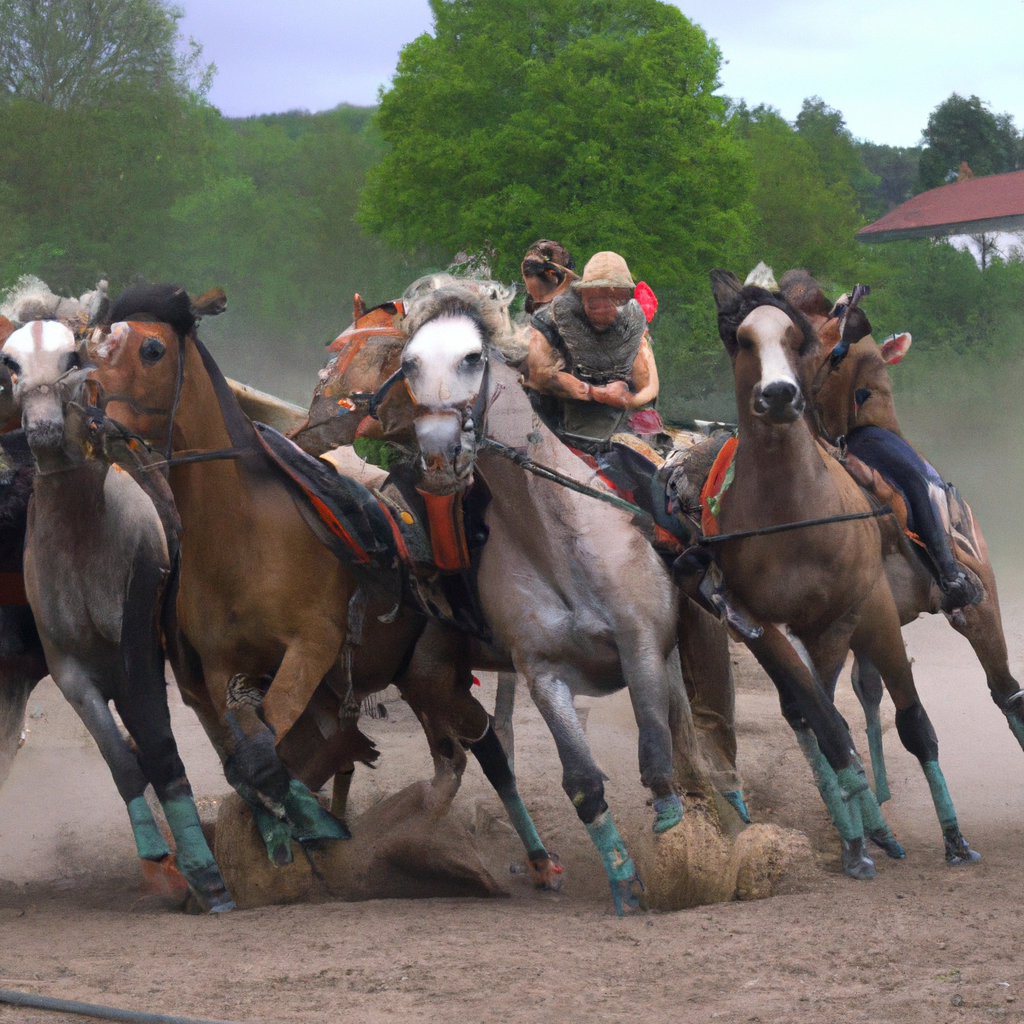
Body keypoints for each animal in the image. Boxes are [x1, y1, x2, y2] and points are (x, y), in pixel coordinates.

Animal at [2, 319, 234, 913]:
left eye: (70, 356)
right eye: (10, 362)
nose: (42, 428)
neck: (82, 534)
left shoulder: (139, 647)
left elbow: (157, 746)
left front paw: (204, 874)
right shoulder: (68, 671)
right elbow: (123, 760)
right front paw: (159, 856)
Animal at [88, 286, 565, 888]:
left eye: (151, 349)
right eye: (94, 346)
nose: (94, 419)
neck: (241, 530)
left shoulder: (309, 652)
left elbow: (262, 757)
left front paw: (296, 838)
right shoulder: (221, 669)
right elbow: (251, 758)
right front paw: (292, 834)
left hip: (432, 672)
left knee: (480, 746)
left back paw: (530, 857)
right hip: (416, 679)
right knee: (452, 753)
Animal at [391, 282, 729, 913]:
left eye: (471, 358)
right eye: (409, 364)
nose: (440, 455)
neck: (559, 534)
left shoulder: (640, 647)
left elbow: (657, 757)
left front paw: (683, 857)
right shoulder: (542, 671)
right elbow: (583, 782)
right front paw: (623, 880)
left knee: (698, 741)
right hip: (431, 675)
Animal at [708, 272, 978, 880]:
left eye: (795, 338)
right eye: (742, 339)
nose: (779, 395)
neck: (793, 511)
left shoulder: (848, 618)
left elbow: (884, 718)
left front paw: (897, 835)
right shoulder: (763, 626)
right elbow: (820, 718)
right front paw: (858, 837)